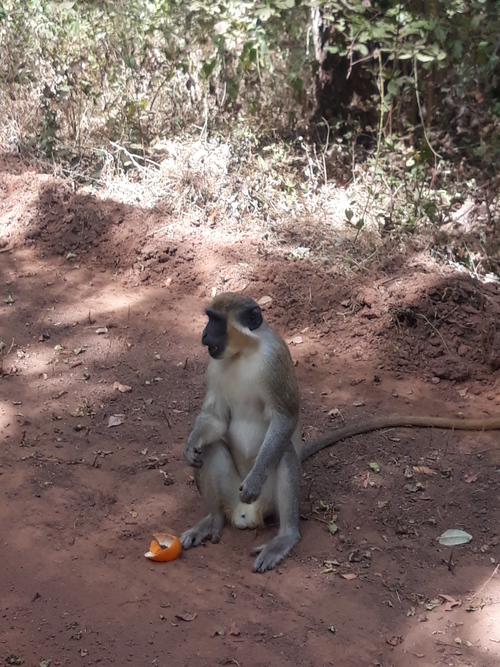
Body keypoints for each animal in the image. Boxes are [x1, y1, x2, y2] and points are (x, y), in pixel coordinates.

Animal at [182, 292, 500, 576]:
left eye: (216, 321)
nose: (204, 335)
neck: (244, 353)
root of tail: (244, 516)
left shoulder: (275, 359)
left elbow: (285, 419)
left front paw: (255, 479)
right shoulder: (215, 366)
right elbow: (215, 418)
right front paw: (189, 446)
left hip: (267, 502)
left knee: (283, 453)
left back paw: (285, 536)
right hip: (230, 496)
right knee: (209, 450)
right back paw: (212, 519)